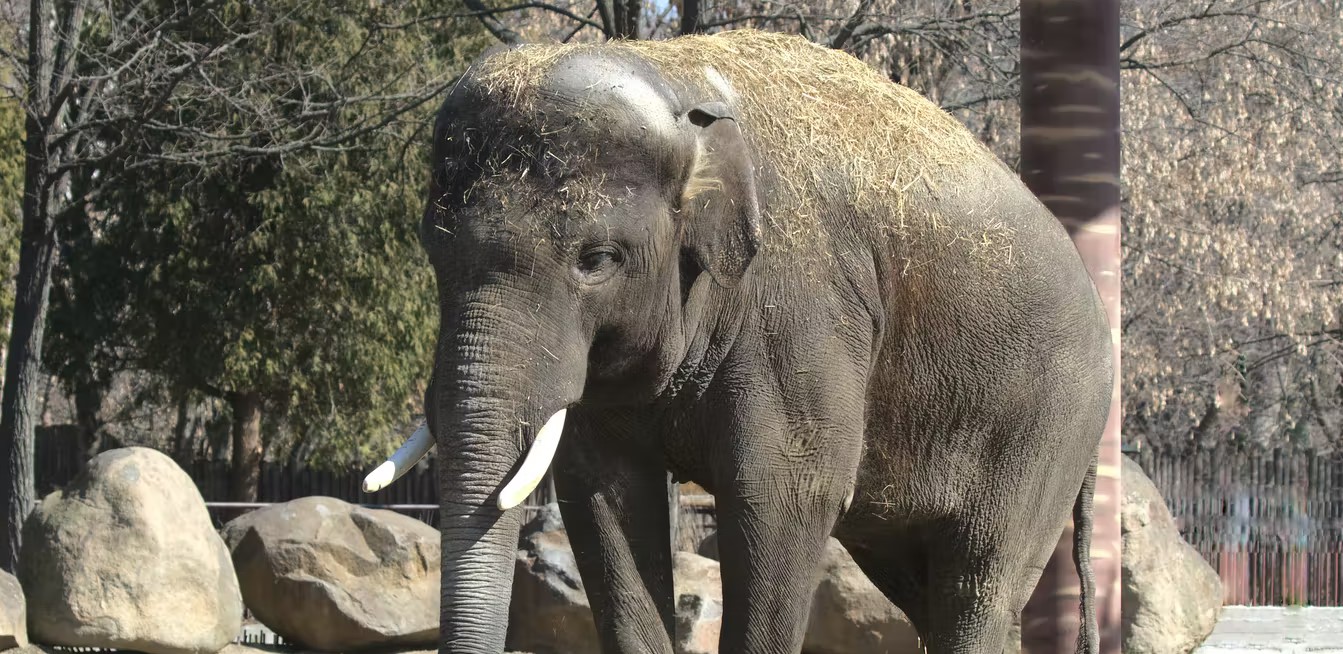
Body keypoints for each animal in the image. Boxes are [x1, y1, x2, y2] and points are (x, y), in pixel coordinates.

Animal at [363, 28, 1114, 654]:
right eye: (433, 250)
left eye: (597, 260)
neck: (677, 80)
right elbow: (603, 492)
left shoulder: (801, 303)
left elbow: (782, 491)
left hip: (1046, 426)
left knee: (978, 575)